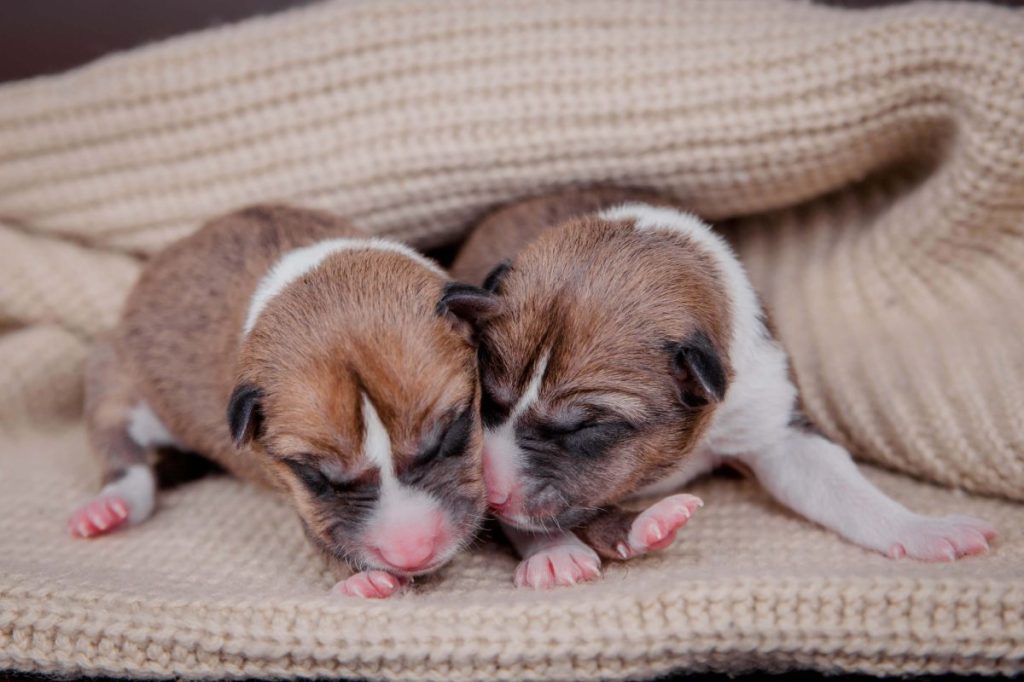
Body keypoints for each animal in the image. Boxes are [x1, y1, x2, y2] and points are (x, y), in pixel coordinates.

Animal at [68, 204, 491, 598]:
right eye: (315, 475)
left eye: (451, 431)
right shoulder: (300, 496)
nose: (412, 552)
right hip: (116, 373)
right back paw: (109, 508)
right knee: (119, 445)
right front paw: (364, 581)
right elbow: (319, 533)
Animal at [452, 188, 995, 585]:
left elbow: (847, 490)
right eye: (489, 399)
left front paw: (926, 529)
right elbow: (530, 519)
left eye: (588, 427)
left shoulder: (772, 419)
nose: (492, 492)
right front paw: (552, 550)